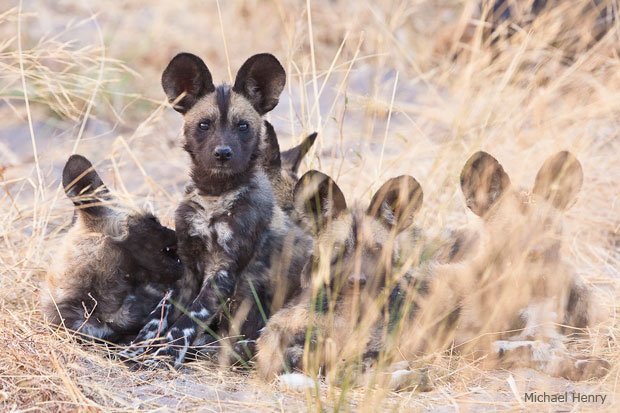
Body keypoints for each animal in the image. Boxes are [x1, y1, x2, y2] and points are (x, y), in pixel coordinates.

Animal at [120, 52, 314, 366]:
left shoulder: (222, 272)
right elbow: (159, 316)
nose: (223, 153)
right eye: (204, 125)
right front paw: (139, 348)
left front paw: (165, 354)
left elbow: (187, 321)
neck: (215, 196)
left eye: (242, 126)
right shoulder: (187, 268)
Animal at [392, 150, 612, 380]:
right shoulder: (470, 345)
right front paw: (579, 363)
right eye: (510, 231)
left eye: (548, 227)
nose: (536, 255)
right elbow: (531, 349)